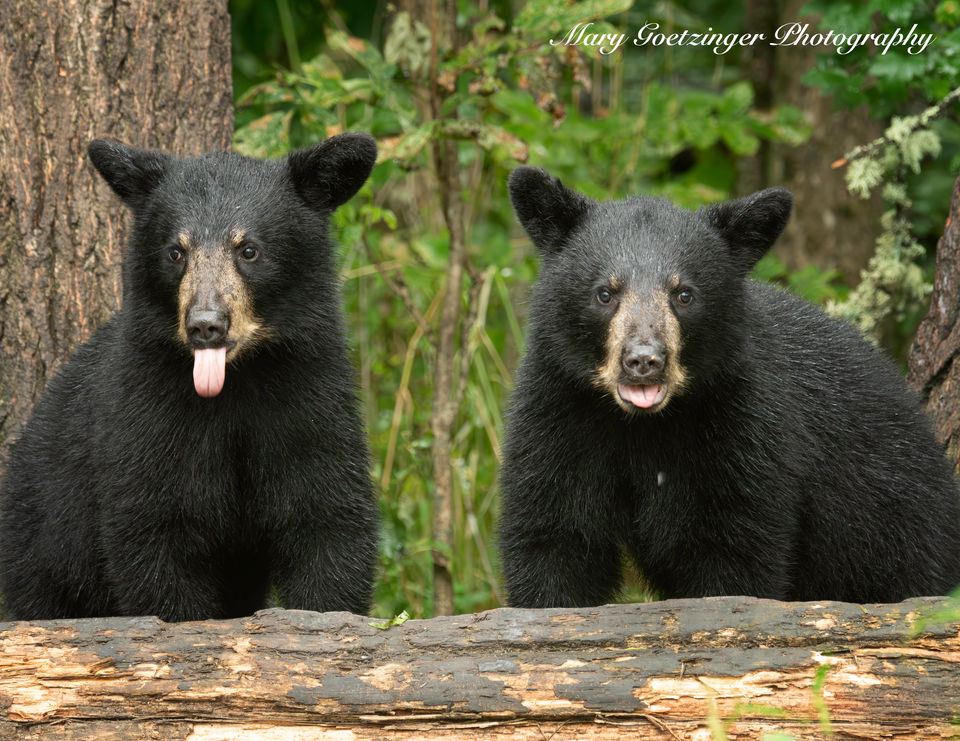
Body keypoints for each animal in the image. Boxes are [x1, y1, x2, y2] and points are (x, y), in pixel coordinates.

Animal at [0, 134, 381, 622]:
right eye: (176, 252)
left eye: (248, 249)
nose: (205, 325)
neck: (236, 384)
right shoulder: (150, 412)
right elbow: (156, 534)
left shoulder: (309, 397)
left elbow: (326, 518)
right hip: (44, 534)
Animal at [499, 165, 960, 607]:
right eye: (605, 293)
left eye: (684, 294)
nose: (644, 361)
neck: (643, 425)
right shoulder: (560, 409)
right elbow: (554, 534)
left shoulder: (743, 424)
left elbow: (732, 547)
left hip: (897, 524)